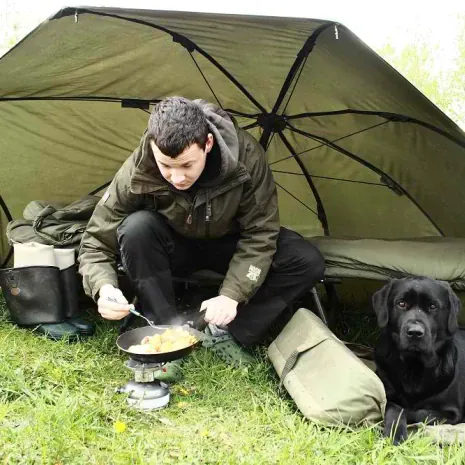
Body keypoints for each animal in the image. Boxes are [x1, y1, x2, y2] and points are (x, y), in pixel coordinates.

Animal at [372, 277, 465, 444]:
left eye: (433, 306)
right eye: (401, 303)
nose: (415, 333)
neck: (414, 366)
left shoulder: (452, 413)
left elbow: (419, 412)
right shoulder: (387, 394)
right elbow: (395, 408)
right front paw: (395, 434)